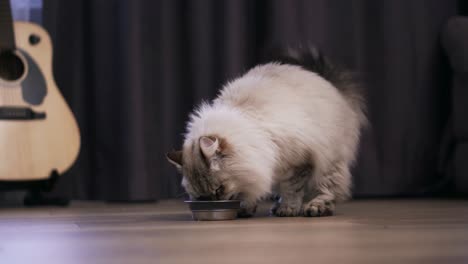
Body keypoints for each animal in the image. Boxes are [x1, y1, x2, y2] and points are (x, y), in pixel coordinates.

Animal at [166, 46, 368, 217]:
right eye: (200, 196)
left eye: (219, 189)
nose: (212, 202)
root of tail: (325, 80)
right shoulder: (261, 168)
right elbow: (250, 189)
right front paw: (246, 207)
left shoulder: (298, 162)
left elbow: (292, 189)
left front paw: (288, 209)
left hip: (330, 163)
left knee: (327, 190)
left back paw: (315, 207)